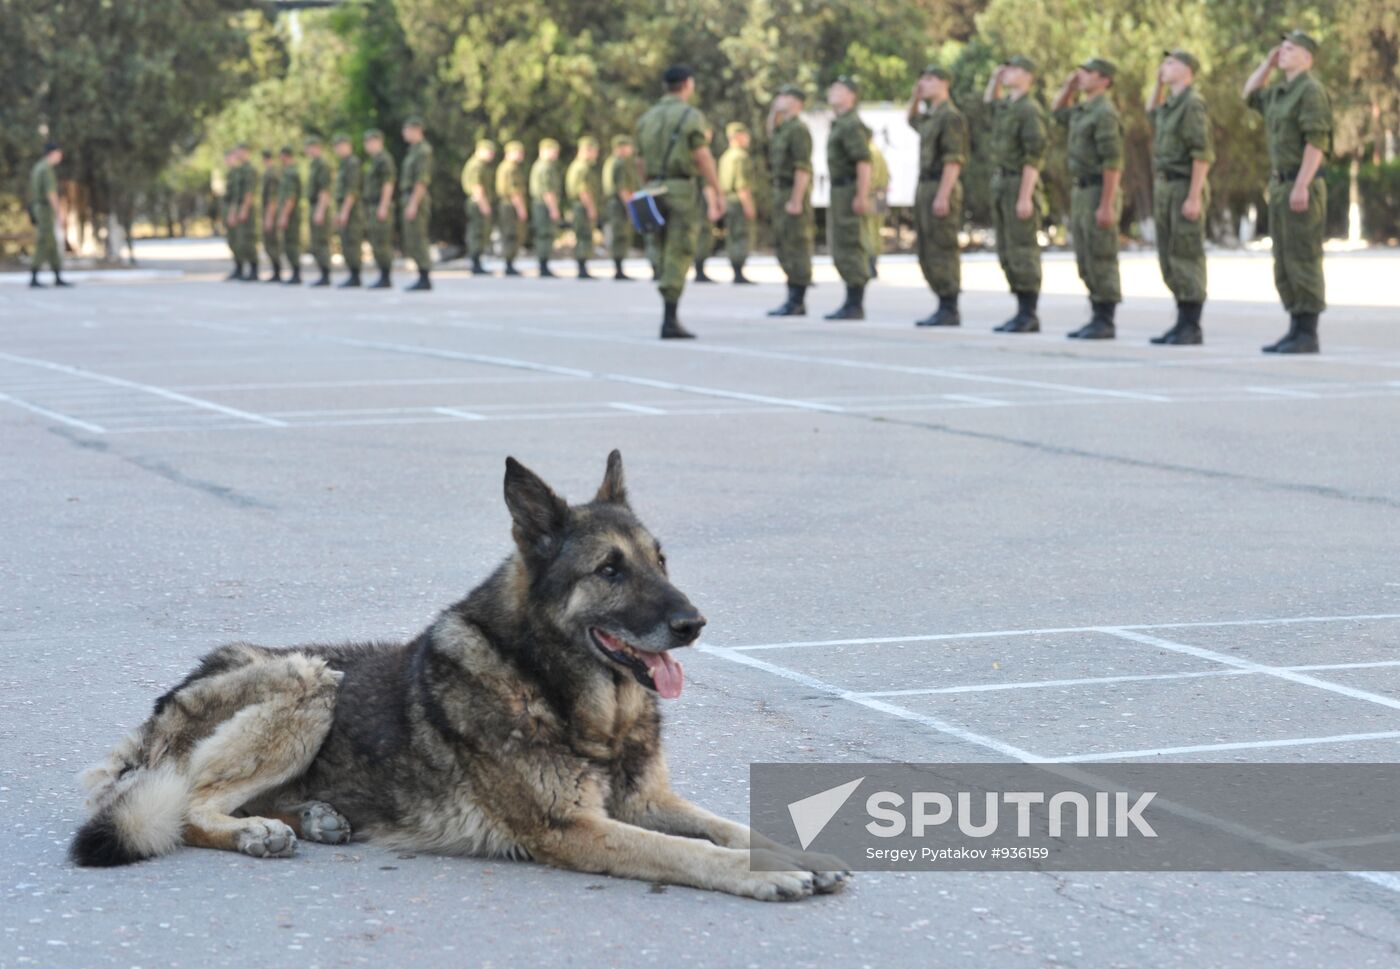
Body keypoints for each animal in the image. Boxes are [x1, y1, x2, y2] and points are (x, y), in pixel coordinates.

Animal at [71, 453, 845, 901]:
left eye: (661, 560)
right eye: (610, 569)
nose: (694, 623)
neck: (558, 693)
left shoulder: (649, 799)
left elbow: (727, 825)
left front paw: (796, 850)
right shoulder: (575, 828)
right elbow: (686, 852)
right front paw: (764, 873)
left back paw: (312, 816)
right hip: (309, 679)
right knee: (188, 803)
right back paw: (256, 830)